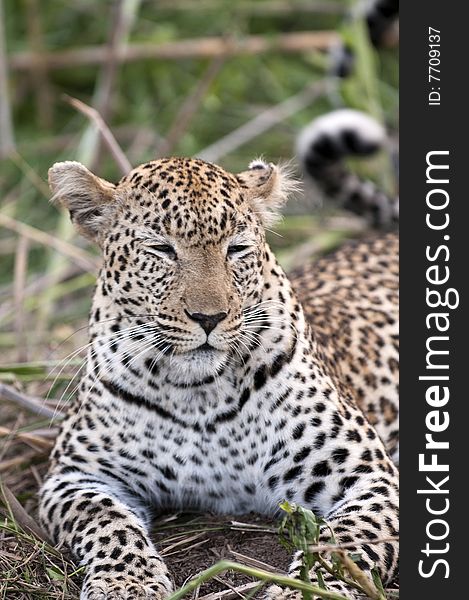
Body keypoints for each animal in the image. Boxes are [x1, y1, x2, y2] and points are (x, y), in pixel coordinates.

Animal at [39, 115, 398, 596]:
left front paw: (305, 589)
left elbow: (346, 541)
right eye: (162, 249)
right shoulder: (76, 474)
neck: (199, 394)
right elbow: (107, 522)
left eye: (236, 249)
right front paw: (127, 583)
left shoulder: (368, 475)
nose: (208, 317)